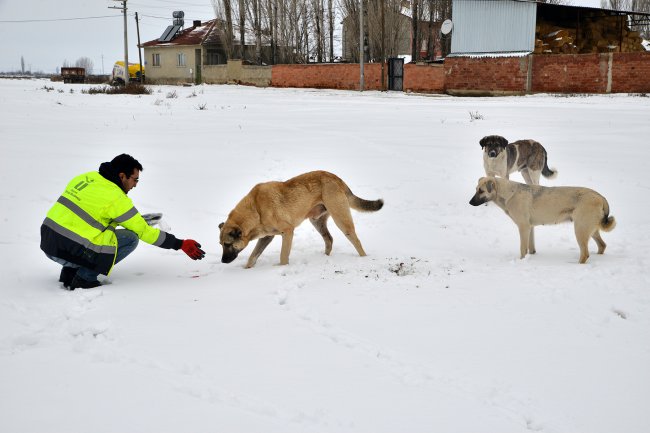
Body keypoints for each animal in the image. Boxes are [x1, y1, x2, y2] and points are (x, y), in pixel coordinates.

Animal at [218, 170, 382, 266]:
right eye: (221, 244)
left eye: (227, 244)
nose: (223, 261)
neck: (256, 210)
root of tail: (337, 178)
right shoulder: (267, 237)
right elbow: (252, 257)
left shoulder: (287, 232)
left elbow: (283, 257)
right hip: (317, 221)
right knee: (329, 240)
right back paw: (325, 258)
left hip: (341, 219)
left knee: (356, 241)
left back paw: (364, 260)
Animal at [468, 176, 616, 264]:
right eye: (476, 189)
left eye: (481, 191)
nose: (470, 203)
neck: (509, 194)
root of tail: (600, 197)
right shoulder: (530, 227)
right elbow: (530, 246)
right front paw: (532, 256)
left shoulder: (523, 227)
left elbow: (522, 248)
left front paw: (522, 261)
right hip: (590, 229)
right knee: (602, 245)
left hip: (580, 229)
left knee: (585, 254)